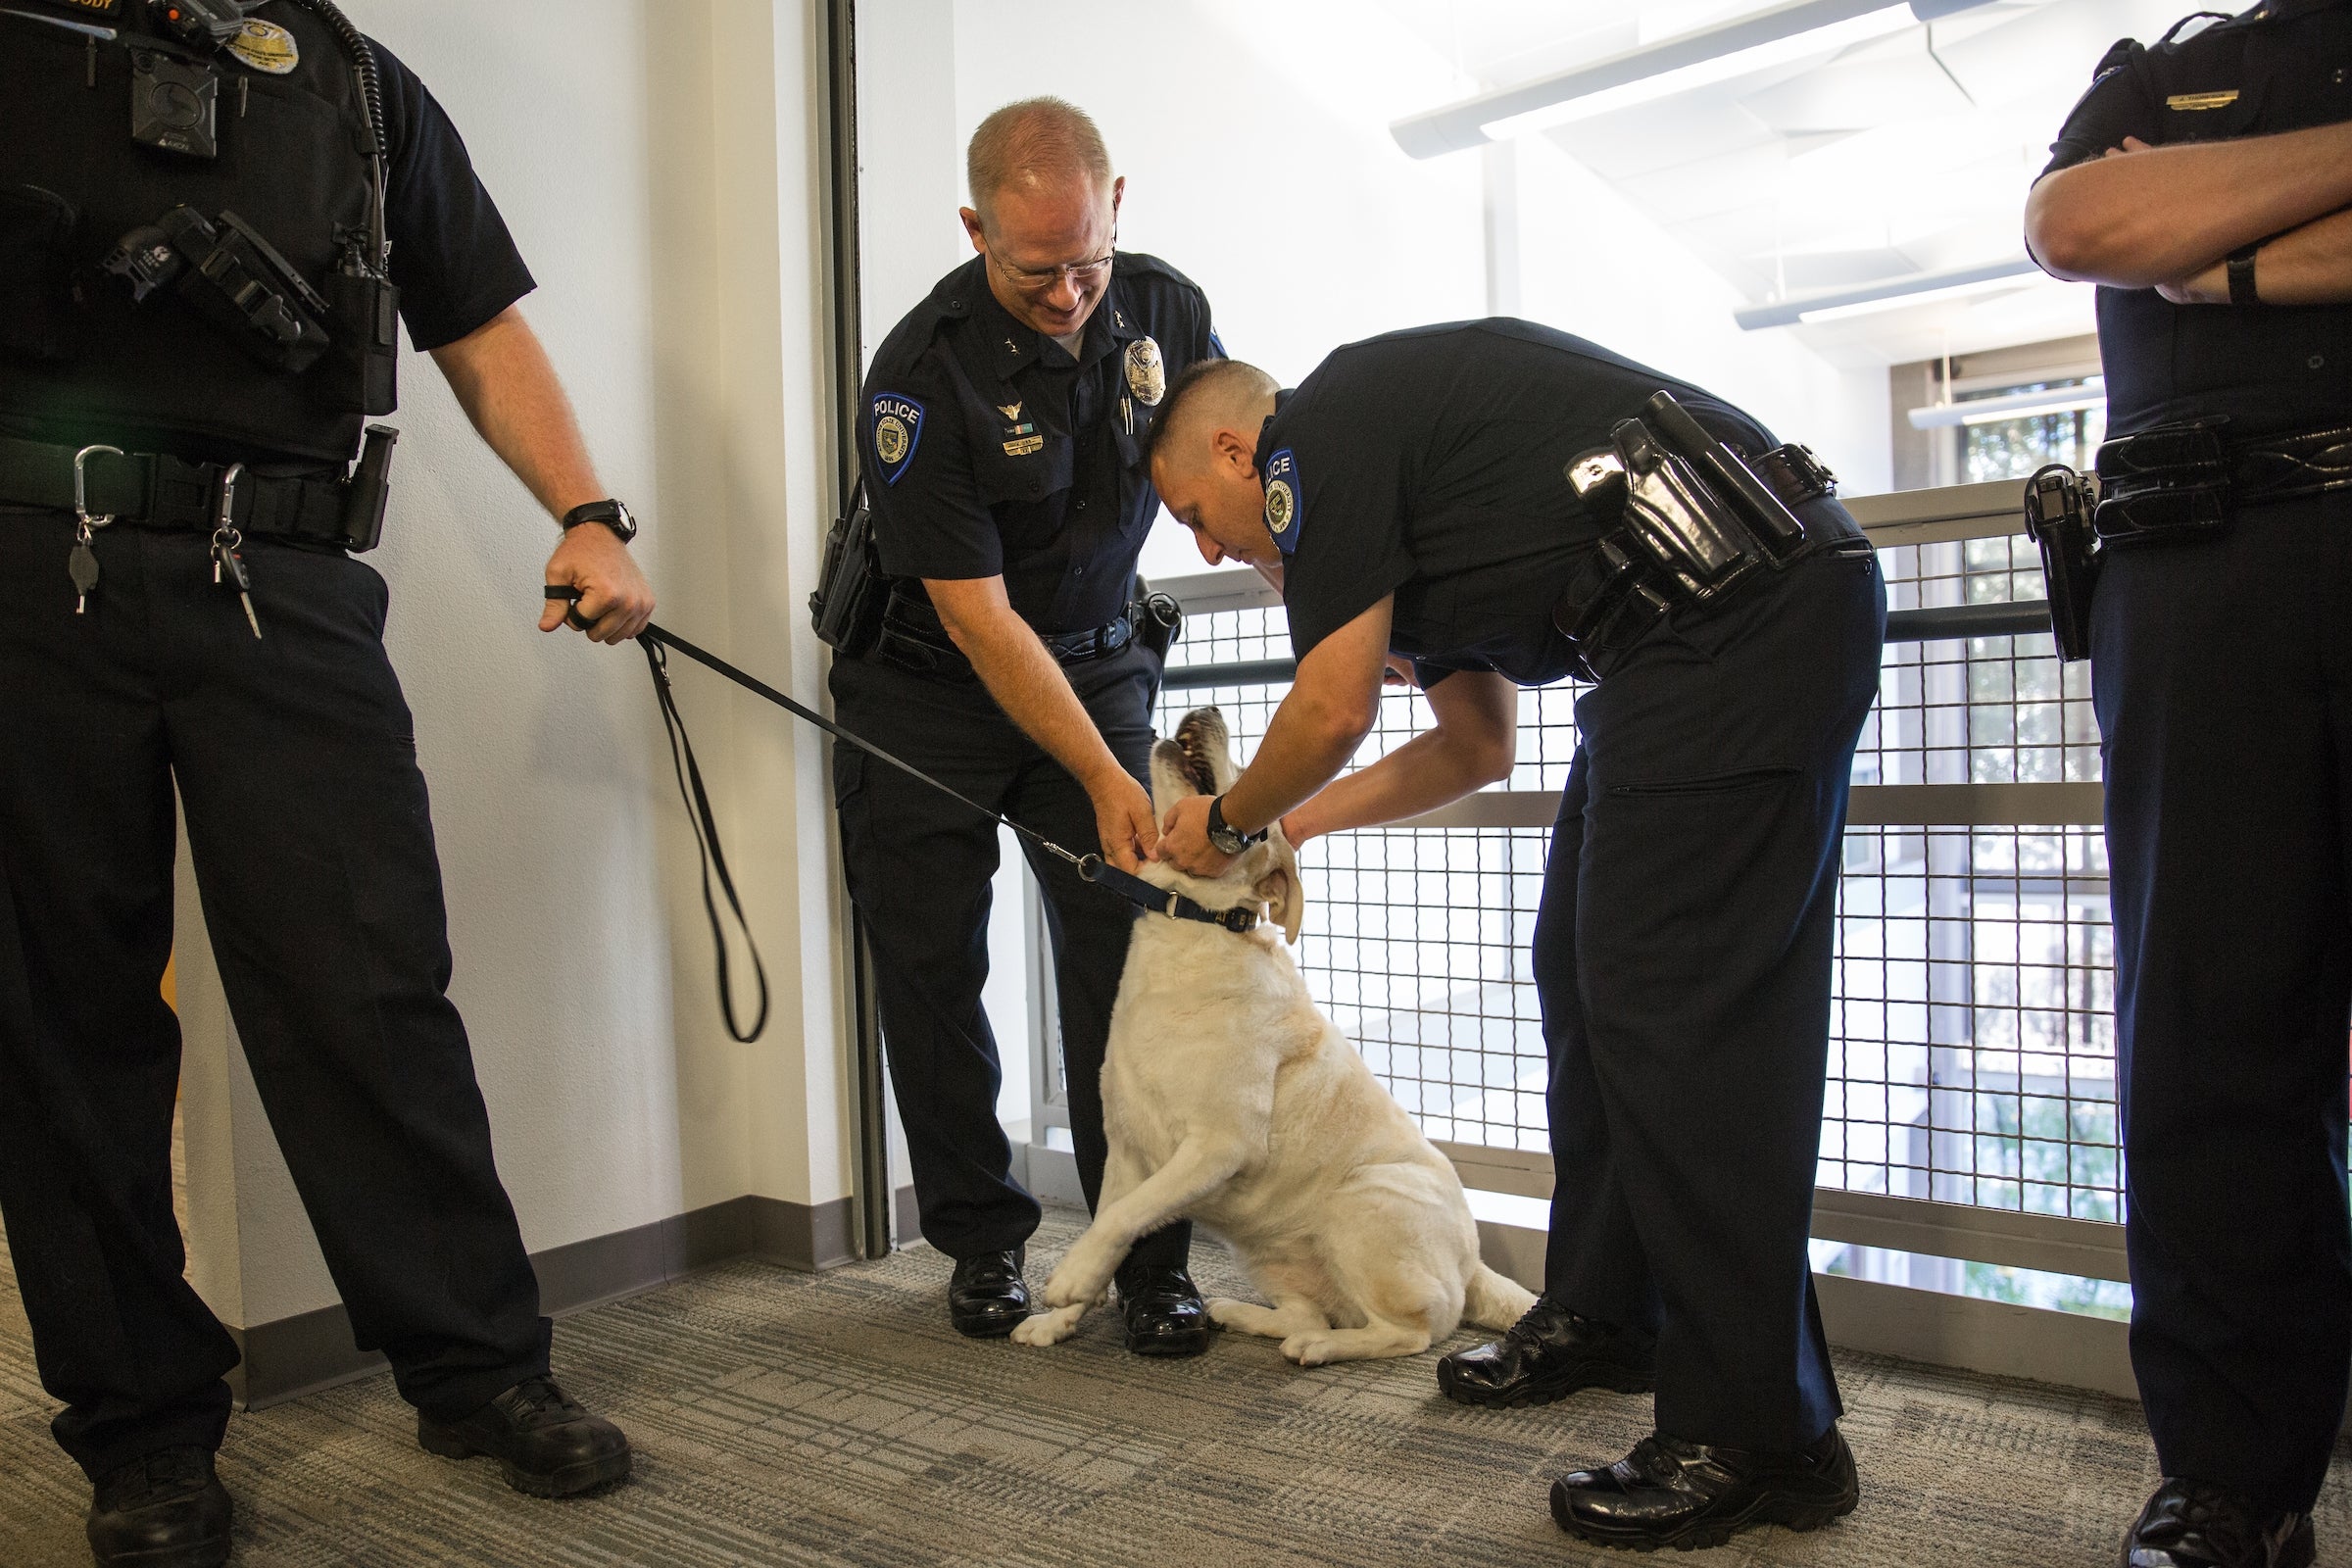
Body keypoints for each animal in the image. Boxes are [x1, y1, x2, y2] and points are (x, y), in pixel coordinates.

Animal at [1015, 705, 1543, 1363]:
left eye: (1251, 782)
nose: (1210, 708)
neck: (1192, 926)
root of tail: (1474, 1267)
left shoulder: (1219, 1145)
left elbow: (1124, 1216)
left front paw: (1068, 1277)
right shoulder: (1127, 1147)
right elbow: (1113, 1219)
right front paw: (1058, 1318)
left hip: (1361, 1202)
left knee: (1413, 1332)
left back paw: (1321, 1348)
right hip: (1267, 1253)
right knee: (1308, 1311)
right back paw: (1247, 1315)